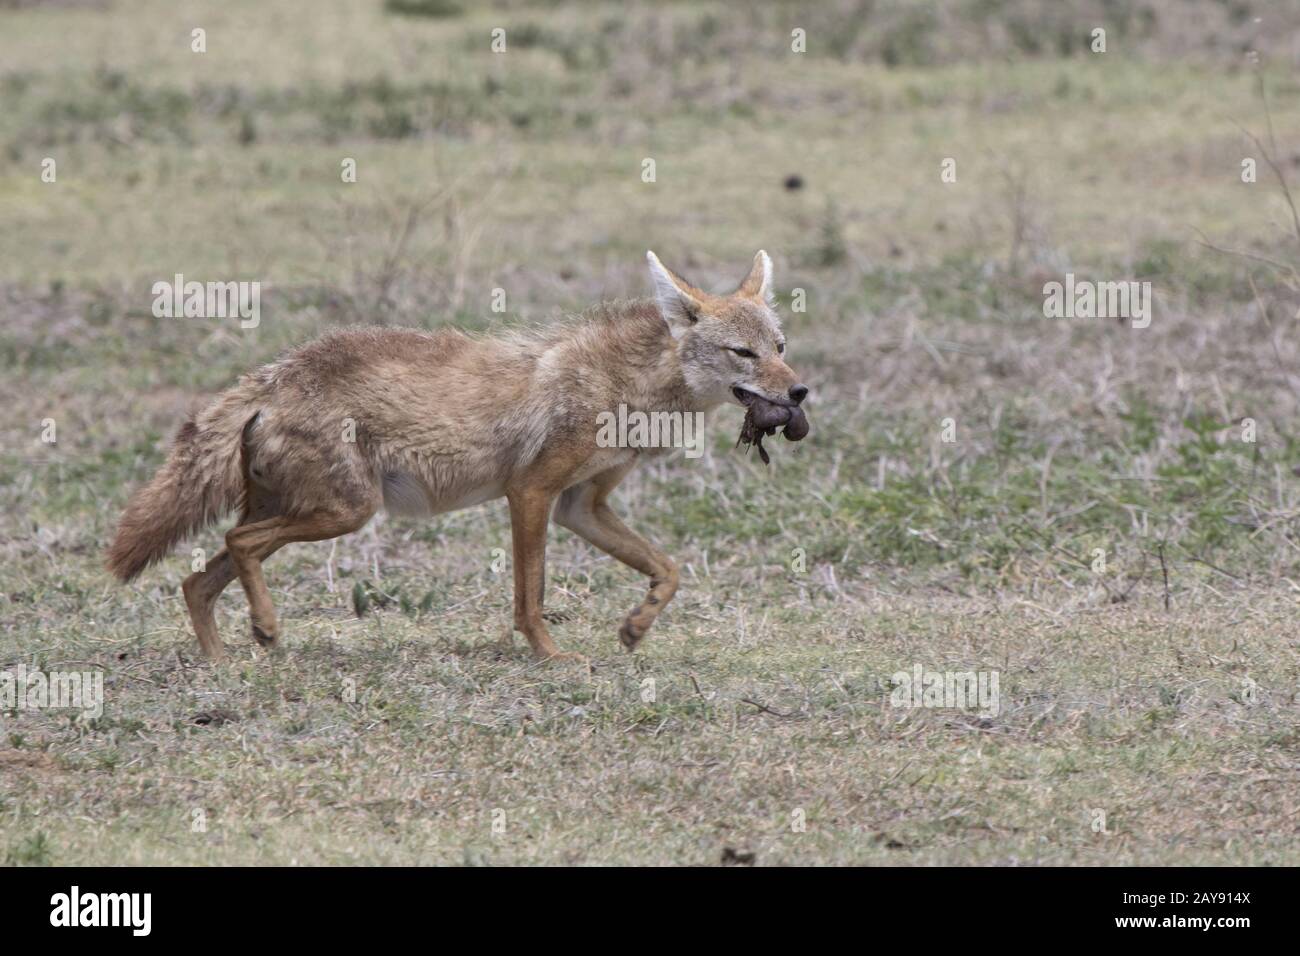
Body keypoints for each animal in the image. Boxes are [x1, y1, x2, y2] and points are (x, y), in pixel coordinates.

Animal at [106, 251, 806, 660]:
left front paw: (634, 628)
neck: (628, 386)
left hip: (310, 511)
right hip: (345, 513)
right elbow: (529, 597)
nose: (799, 392)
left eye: (779, 345)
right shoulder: (531, 494)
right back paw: (266, 630)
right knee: (238, 545)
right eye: (743, 355)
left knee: (197, 579)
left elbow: (670, 569)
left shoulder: (580, 507)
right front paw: (551, 658)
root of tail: (276, 374)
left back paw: (223, 664)